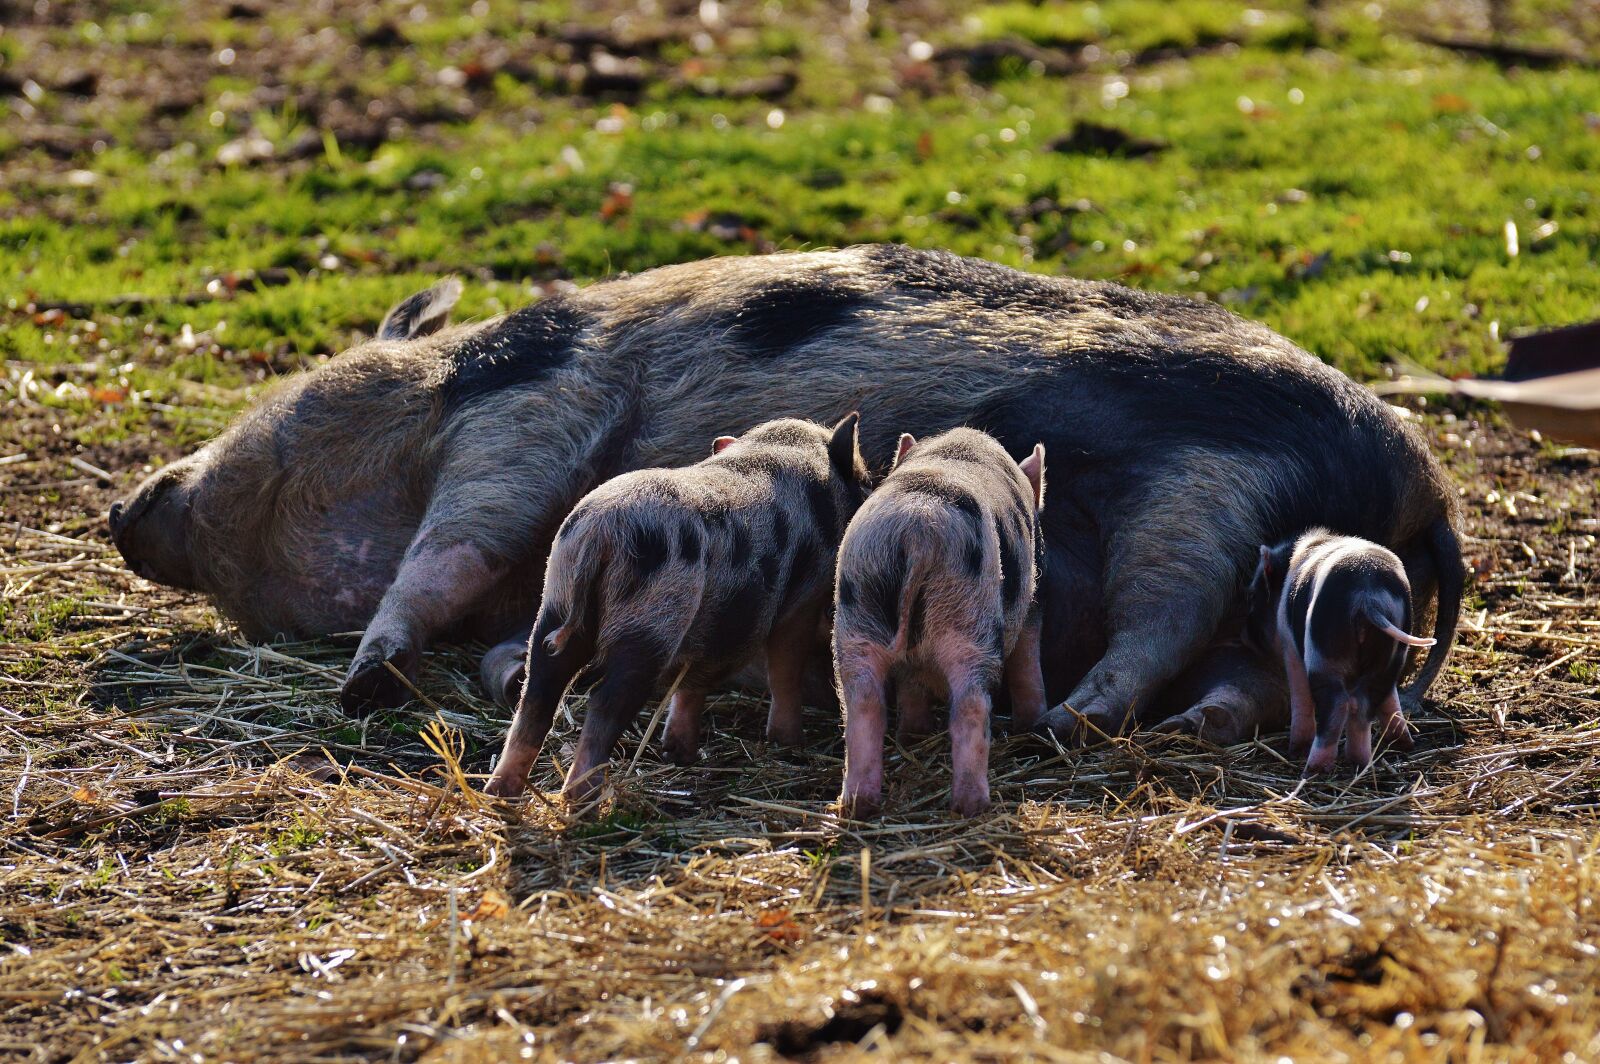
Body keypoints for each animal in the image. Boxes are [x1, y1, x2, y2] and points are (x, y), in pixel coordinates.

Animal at [483, 415, 869, 801]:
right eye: (863, 479)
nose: (867, 492)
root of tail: (602, 533)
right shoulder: (803, 596)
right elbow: (785, 667)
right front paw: (789, 742)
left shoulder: (710, 628)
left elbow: (691, 682)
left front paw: (678, 753)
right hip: (649, 624)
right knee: (603, 703)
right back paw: (582, 797)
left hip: (556, 602)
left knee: (537, 693)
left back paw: (500, 791)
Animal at [833, 428, 1046, 817]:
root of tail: (919, 532)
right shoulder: (1034, 597)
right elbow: (1028, 656)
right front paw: (1032, 724)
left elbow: (911, 684)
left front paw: (913, 734)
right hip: (972, 623)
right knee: (971, 705)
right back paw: (972, 806)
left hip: (857, 617)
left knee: (863, 702)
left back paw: (858, 804)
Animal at [1246, 530, 1435, 774]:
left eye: (1252, 596)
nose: (1246, 636)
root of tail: (1367, 597)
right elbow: (1390, 700)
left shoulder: (1291, 648)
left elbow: (1300, 697)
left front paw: (1295, 750)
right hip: (1390, 653)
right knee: (1369, 702)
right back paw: (1371, 758)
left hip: (1322, 654)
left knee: (1336, 705)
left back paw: (1314, 768)